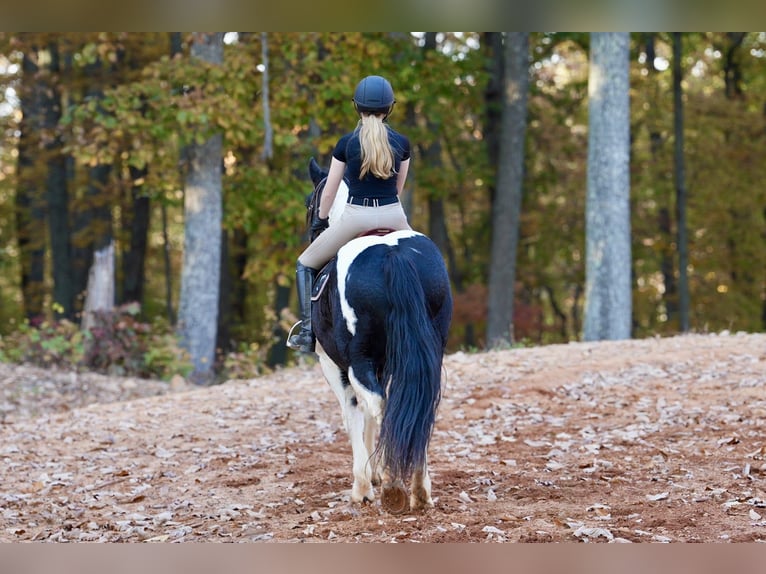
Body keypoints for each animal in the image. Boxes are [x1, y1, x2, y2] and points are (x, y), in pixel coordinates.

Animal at [301, 157, 452, 513]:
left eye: (310, 202)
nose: (313, 231)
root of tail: (394, 255)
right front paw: (375, 474)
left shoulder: (336, 366)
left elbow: (353, 414)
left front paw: (363, 485)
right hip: (424, 356)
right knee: (417, 409)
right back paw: (418, 488)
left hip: (357, 362)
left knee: (381, 407)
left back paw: (394, 487)